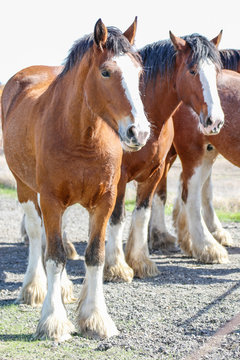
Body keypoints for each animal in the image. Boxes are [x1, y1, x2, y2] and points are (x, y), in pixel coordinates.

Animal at [1, 19, 150, 340]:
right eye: (106, 72)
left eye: (139, 72)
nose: (140, 132)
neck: (82, 138)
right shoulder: (51, 200)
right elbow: (54, 255)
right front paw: (53, 320)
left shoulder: (105, 201)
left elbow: (95, 255)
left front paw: (95, 318)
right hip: (26, 188)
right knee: (37, 234)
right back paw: (34, 287)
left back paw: (63, 289)